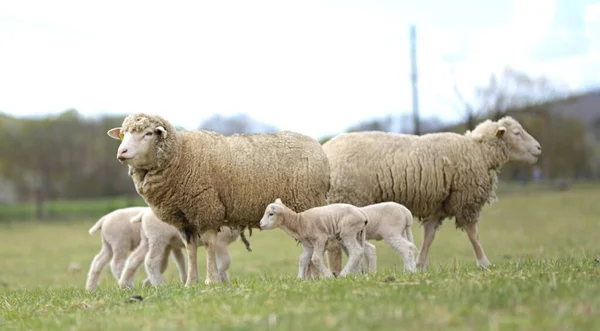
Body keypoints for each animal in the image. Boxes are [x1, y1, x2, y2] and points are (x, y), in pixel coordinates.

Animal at [106, 113, 330, 286]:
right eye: (124, 134)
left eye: (149, 133)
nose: (121, 152)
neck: (181, 154)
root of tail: (318, 148)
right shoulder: (184, 219)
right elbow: (191, 249)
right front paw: (191, 282)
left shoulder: (206, 209)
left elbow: (209, 244)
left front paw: (211, 280)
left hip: (309, 203)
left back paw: (316, 276)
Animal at [324, 116, 544, 272]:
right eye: (517, 133)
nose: (539, 148)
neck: (480, 152)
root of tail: (324, 150)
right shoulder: (465, 199)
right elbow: (473, 235)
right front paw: (484, 263)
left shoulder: (438, 205)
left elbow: (429, 237)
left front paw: (420, 266)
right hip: (346, 198)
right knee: (335, 245)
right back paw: (340, 272)